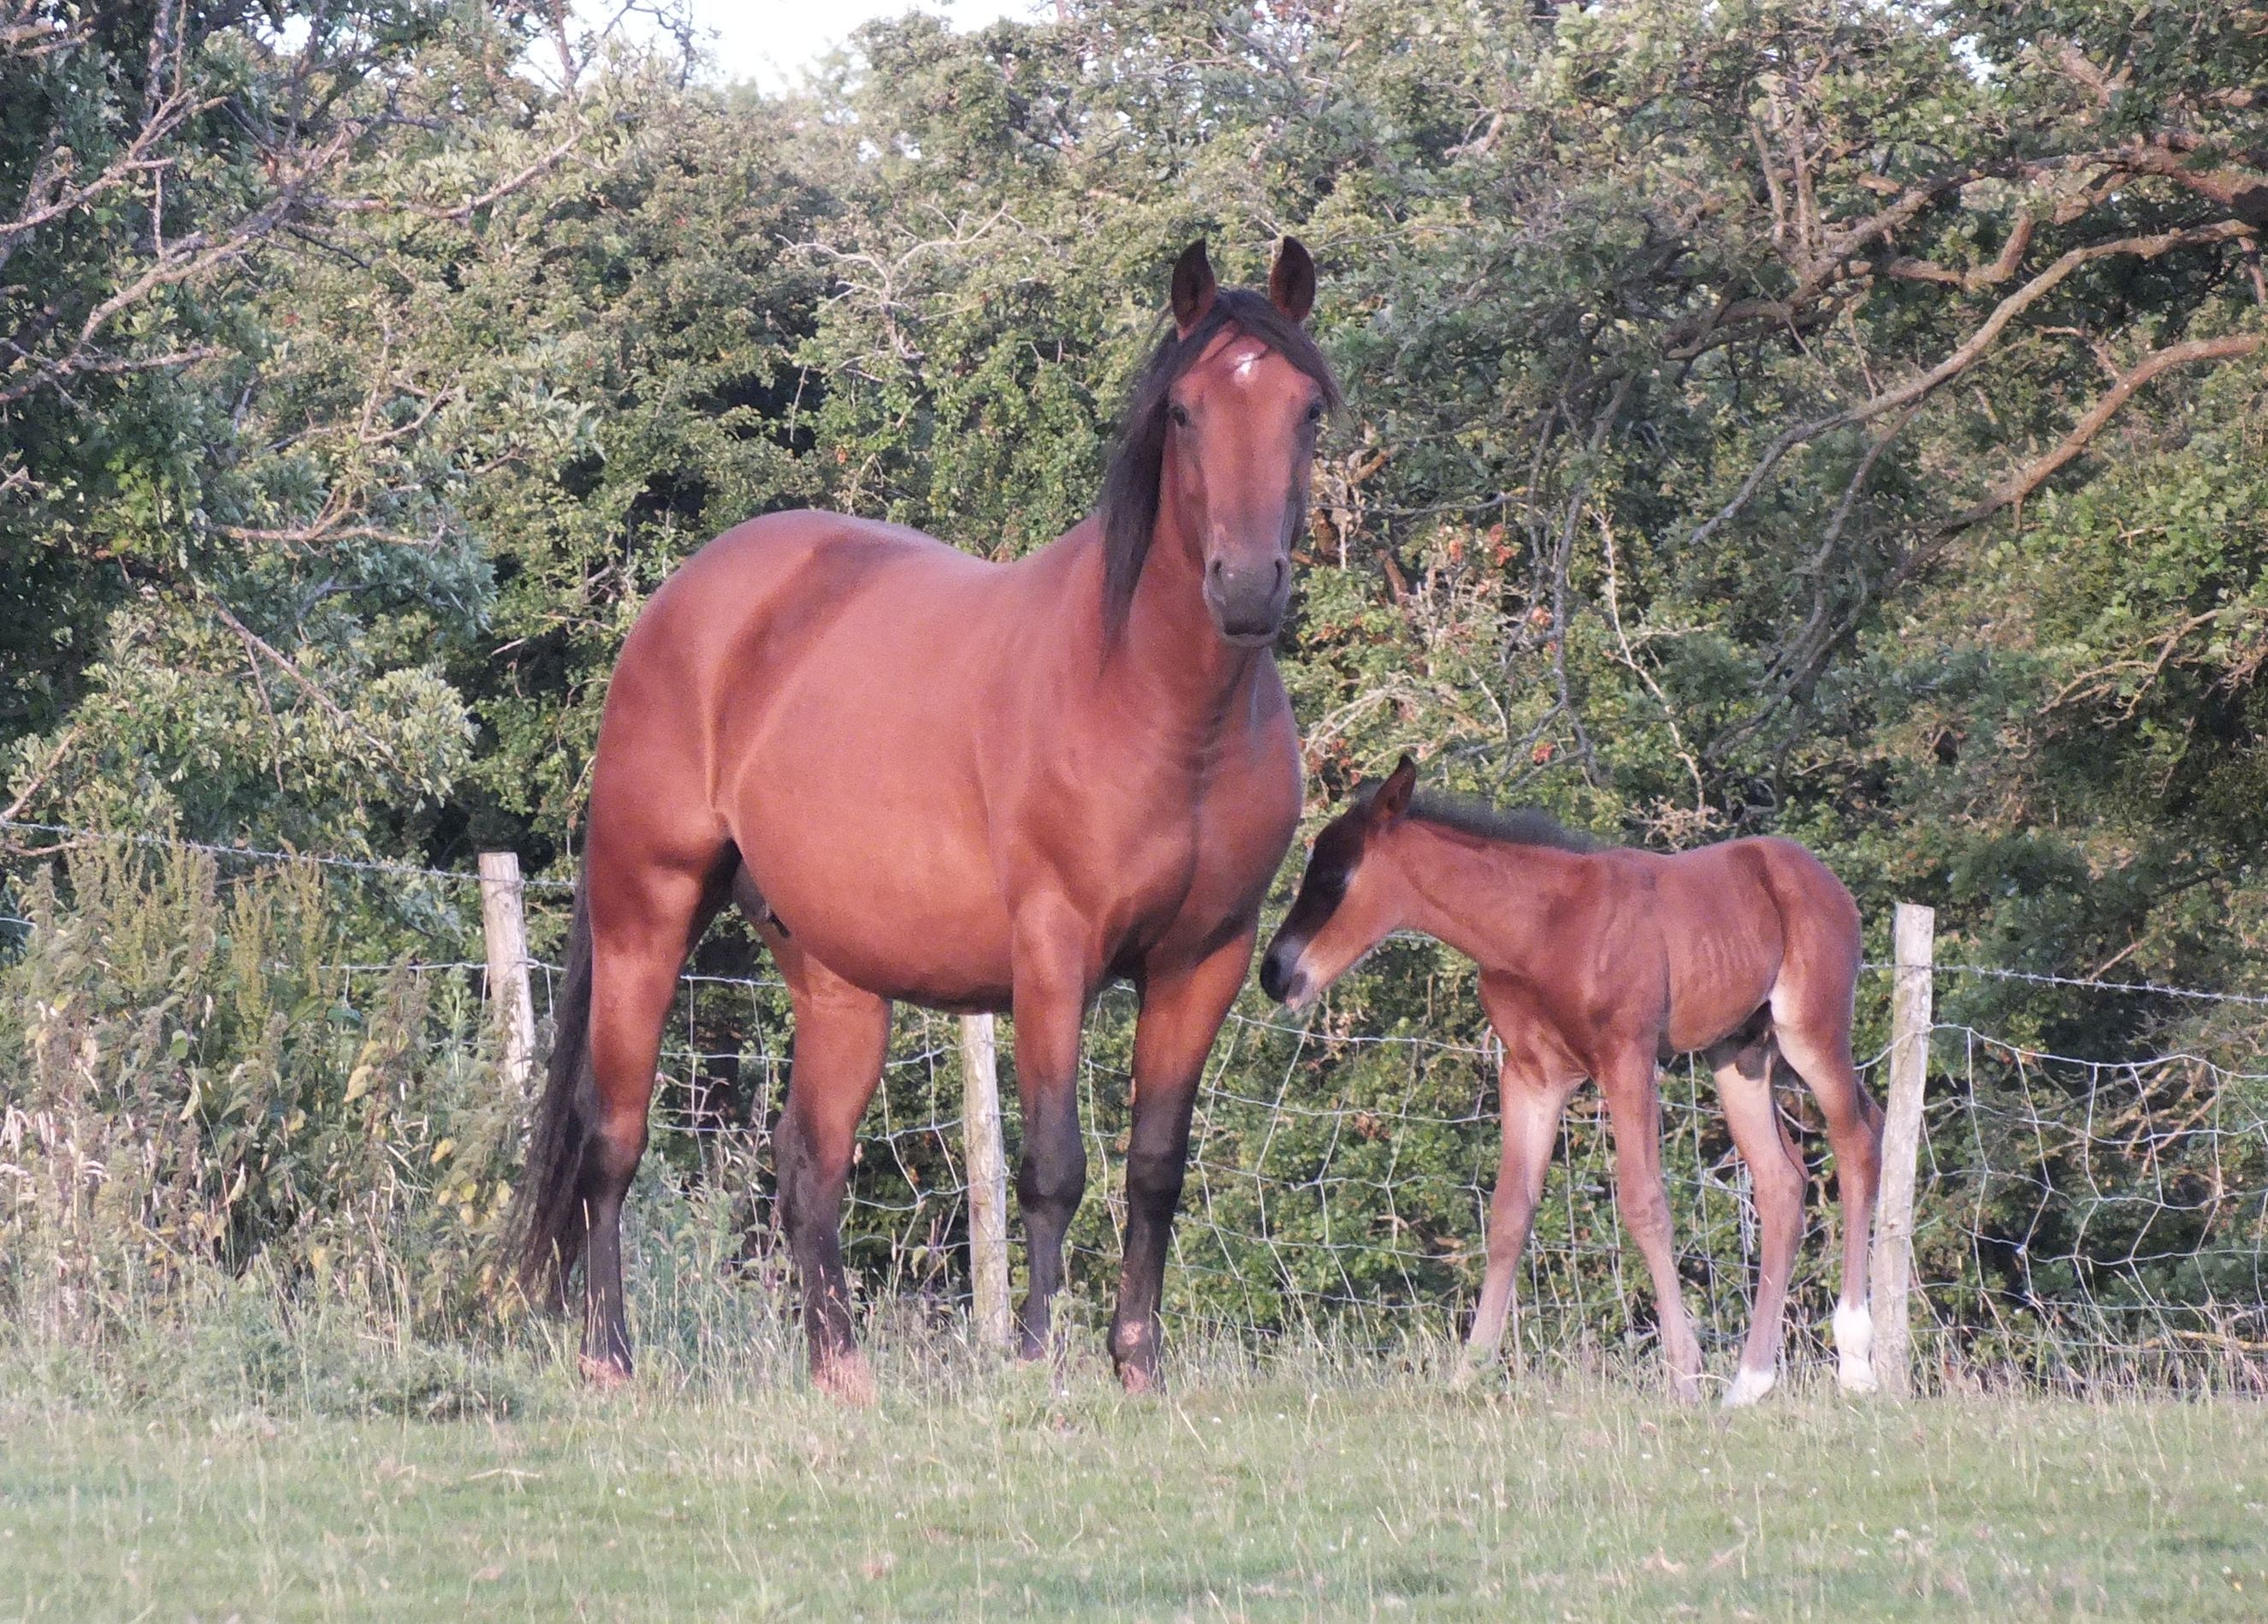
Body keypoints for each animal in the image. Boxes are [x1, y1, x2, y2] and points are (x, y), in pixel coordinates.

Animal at [509, 238, 1340, 1400]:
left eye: (1306, 410)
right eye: (1183, 411)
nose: (1247, 587)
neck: (1154, 703)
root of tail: (685, 600)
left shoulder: (1202, 960)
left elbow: (1154, 1168)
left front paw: (1136, 1363)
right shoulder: (1052, 953)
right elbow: (1051, 1167)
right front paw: (1036, 1356)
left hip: (836, 977)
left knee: (807, 1160)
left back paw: (841, 1371)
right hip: (646, 916)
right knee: (612, 1139)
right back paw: (609, 1354)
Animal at [1258, 757, 1884, 1407]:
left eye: (1334, 876)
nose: (1273, 973)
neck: (1540, 929)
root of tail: (1820, 877)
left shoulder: (1627, 1058)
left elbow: (1644, 1204)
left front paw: (1684, 1376)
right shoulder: (1531, 1075)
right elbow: (1510, 1213)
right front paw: (1468, 1373)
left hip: (1809, 1032)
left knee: (1858, 1140)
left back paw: (1856, 1366)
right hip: (1739, 1054)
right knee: (1782, 1182)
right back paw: (1749, 1383)